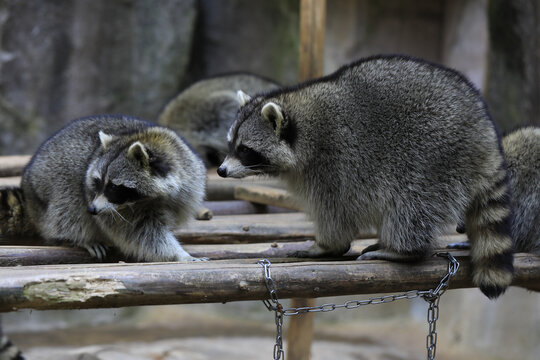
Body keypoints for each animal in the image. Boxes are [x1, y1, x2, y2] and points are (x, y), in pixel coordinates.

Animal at [1, 115, 207, 262]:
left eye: (114, 187)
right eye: (97, 182)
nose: (92, 209)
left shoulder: (189, 179)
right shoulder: (118, 213)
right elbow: (141, 234)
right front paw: (178, 254)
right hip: (52, 183)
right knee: (68, 206)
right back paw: (79, 237)